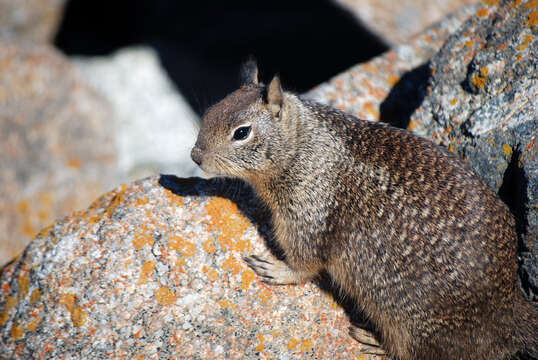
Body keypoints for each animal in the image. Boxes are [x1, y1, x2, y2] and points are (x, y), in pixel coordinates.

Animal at [191, 60, 532, 358]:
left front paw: (276, 268)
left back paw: (374, 341)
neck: (303, 144)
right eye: (208, 113)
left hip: (407, 324)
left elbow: (304, 263)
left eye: (241, 132)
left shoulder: (306, 216)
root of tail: (510, 307)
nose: (195, 156)